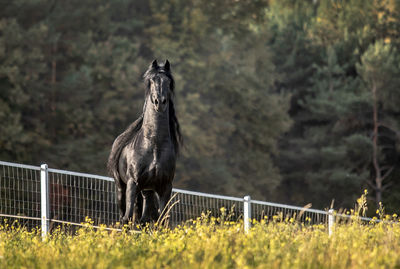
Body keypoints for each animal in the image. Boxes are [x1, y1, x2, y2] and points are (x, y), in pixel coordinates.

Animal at [106, 59, 181, 223]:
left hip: (147, 191)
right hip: (122, 188)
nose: (160, 102)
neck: (154, 145)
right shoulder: (133, 184)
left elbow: (162, 220)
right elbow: (127, 218)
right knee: (124, 216)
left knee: (143, 217)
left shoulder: (165, 187)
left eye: (168, 81)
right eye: (152, 80)